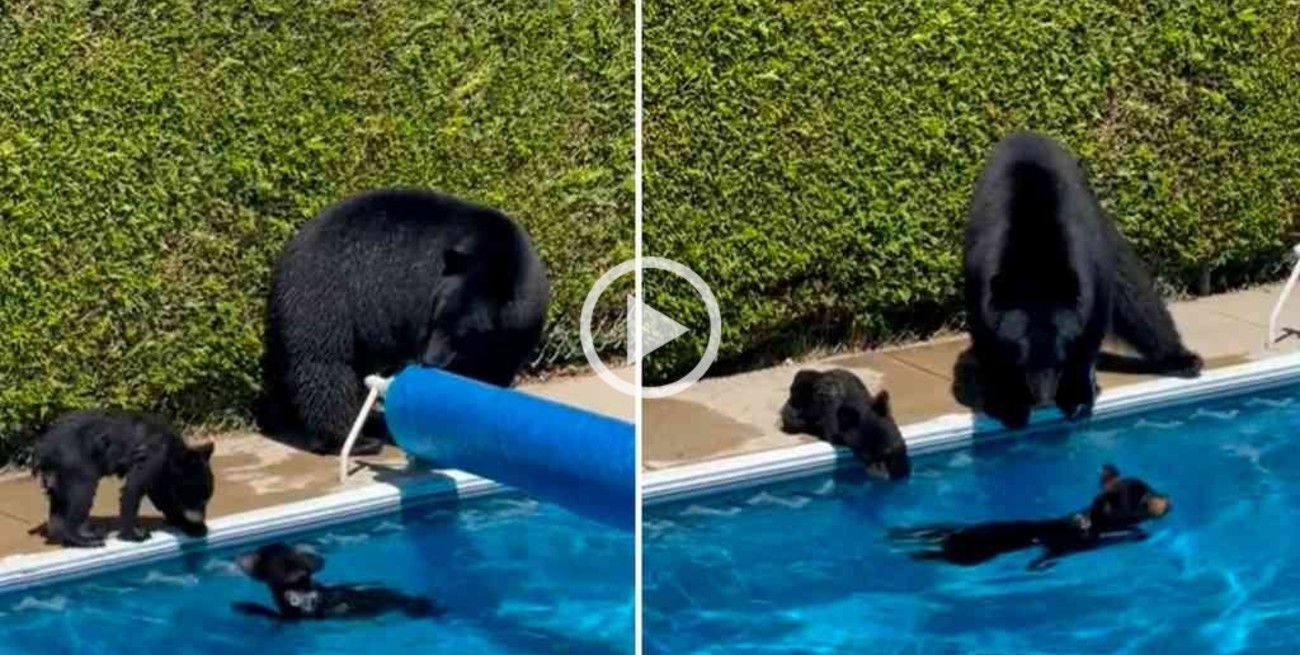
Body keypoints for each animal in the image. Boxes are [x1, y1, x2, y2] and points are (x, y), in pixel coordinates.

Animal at [32, 410, 215, 548]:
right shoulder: (152, 457)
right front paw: (134, 534)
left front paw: (193, 527)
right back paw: (83, 540)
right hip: (73, 457)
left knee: (59, 502)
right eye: (194, 494)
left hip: (57, 474)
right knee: (82, 490)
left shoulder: (161, 475)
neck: (172, 453)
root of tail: (41, 446)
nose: (199, 517)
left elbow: (163, 497)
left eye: (207, 497)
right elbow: (133, 490)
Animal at [259, 188, 551, 456]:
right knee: (326, 371)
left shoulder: (517, 332)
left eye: (462, 331)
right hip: (325, 304)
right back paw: (353, 439)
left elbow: (493, 370)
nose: (429, 359)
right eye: (436, 318)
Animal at [963, 132, 1202, 429]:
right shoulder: (980, 277)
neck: (1035, 260)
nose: (1044, 399)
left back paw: (1183, 359)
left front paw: (1076, 398)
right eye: (1023, 358)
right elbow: (991, 343)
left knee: (1138, 300)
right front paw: (1010, 403)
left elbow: (1089, 333)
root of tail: (1028, 135)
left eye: (1059, 359)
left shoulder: (1091, 269)